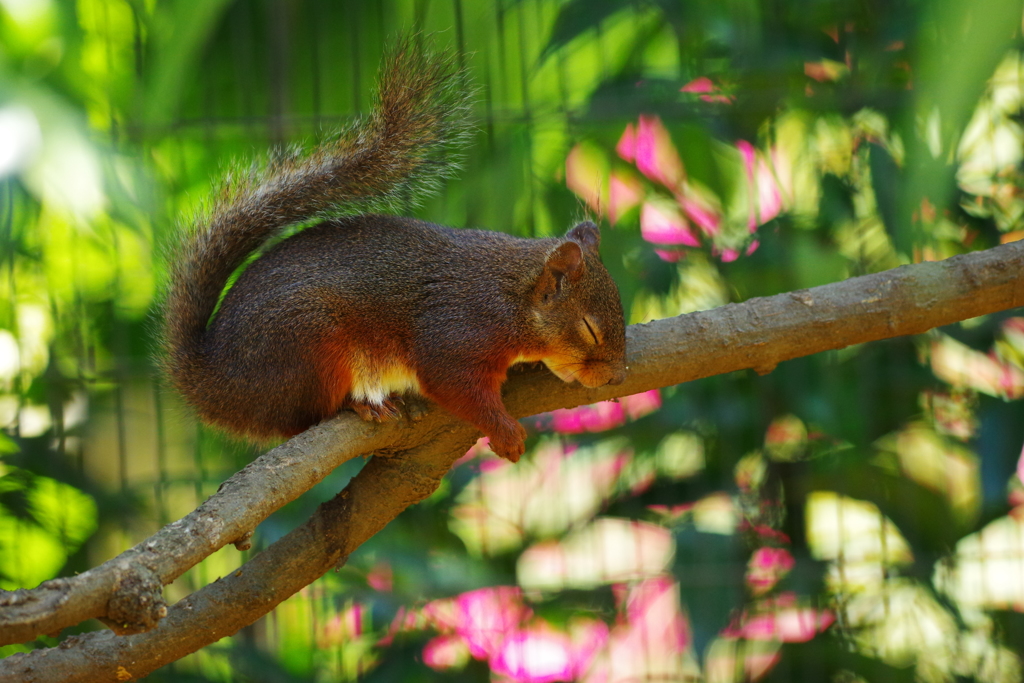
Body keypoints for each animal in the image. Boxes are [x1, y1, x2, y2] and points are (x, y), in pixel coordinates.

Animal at [161, 41, 622, 464]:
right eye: (590, 328)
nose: (617, 378)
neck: (514, 295)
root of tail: (215, 381)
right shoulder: (459, 330)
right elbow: (454, 384)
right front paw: (505, 431)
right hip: (307, 343)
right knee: (299, 418)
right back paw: (359, 404)